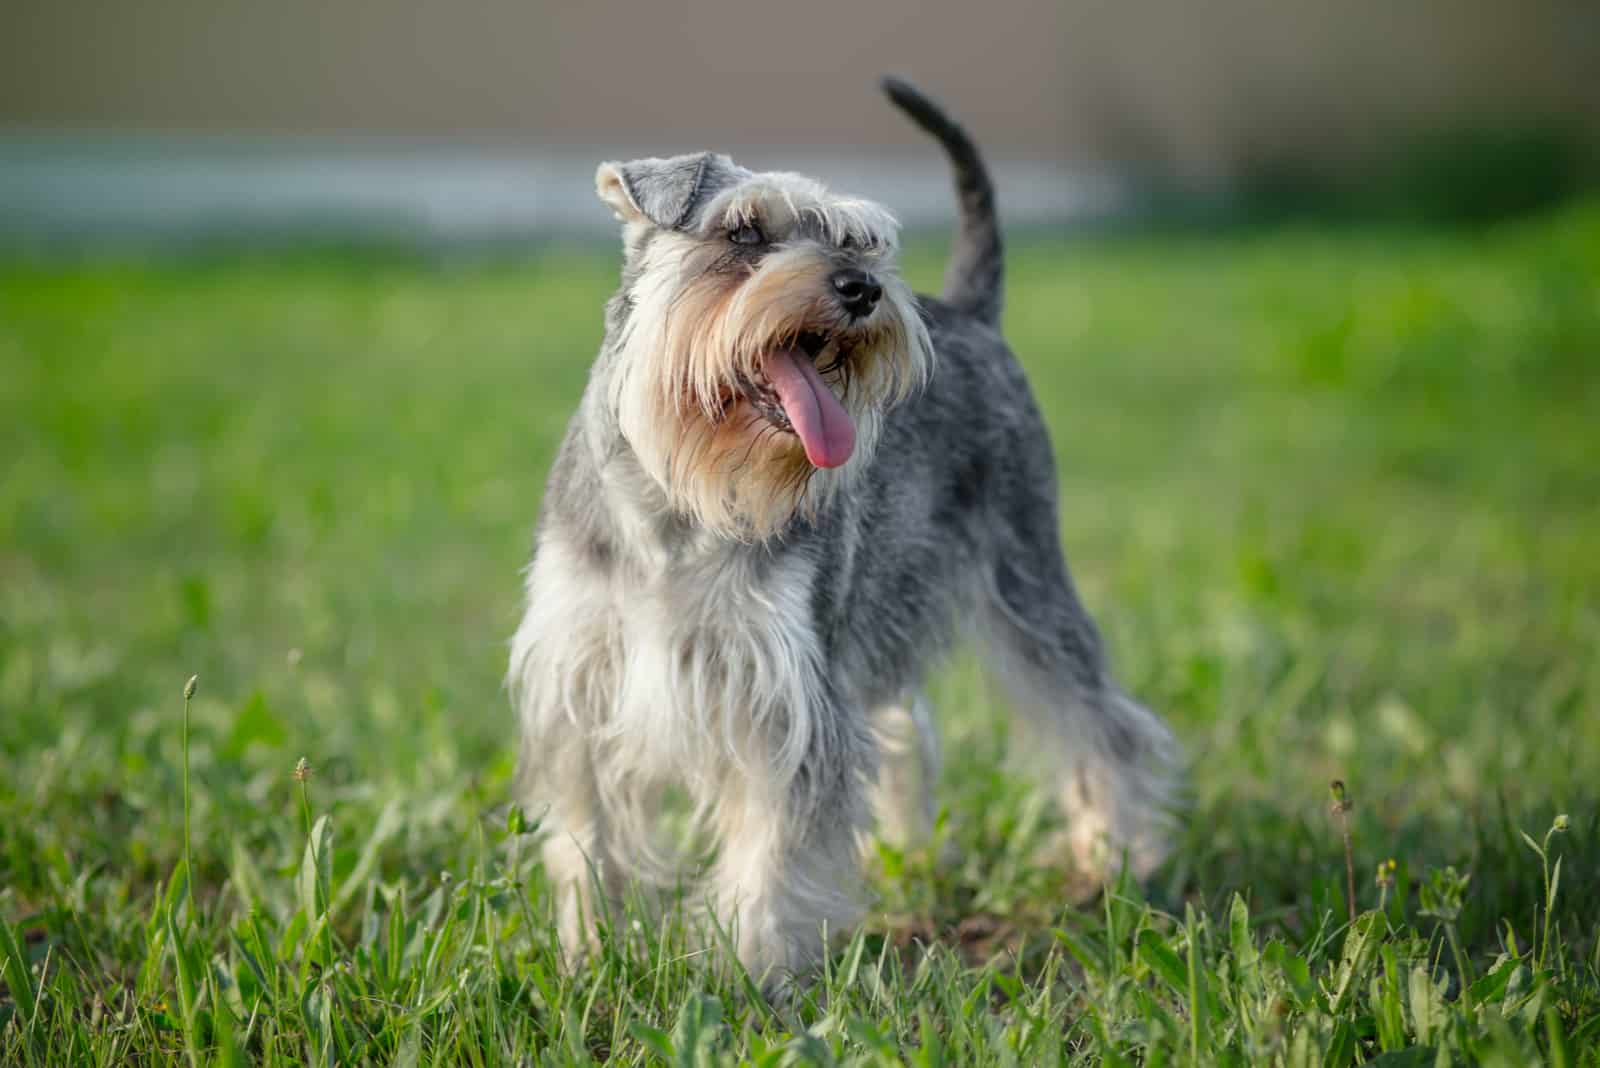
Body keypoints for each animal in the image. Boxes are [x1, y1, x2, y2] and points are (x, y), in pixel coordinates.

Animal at [505, 79, 1184, 991]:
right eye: (742, 232)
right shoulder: (580, 686)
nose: (862, 288)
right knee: (906, 729)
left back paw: (1114, 858)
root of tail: (972, 311)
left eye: (859, 239)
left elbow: (772, 851)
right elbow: (587, 842)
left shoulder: (787, 696)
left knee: (1100, 722)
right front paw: (588, 954)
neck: (678, 504)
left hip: (1027, 583)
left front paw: (747, 973)